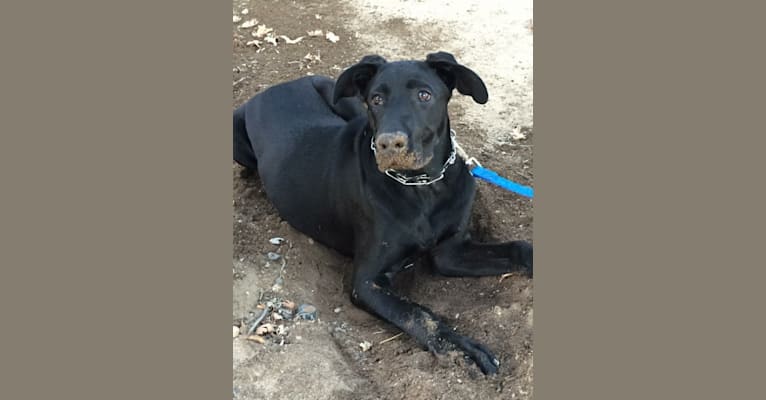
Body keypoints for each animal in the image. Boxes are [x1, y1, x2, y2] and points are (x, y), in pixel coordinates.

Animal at [234, 51, 536, 374]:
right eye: (377, 99)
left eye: (424, 95)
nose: (389, 143)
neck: (423, 186)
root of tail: (272, 89)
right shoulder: (366, 282)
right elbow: (418, 315)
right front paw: (462, 349)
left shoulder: (451, 251)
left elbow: (518, 248)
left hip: (341, 96)